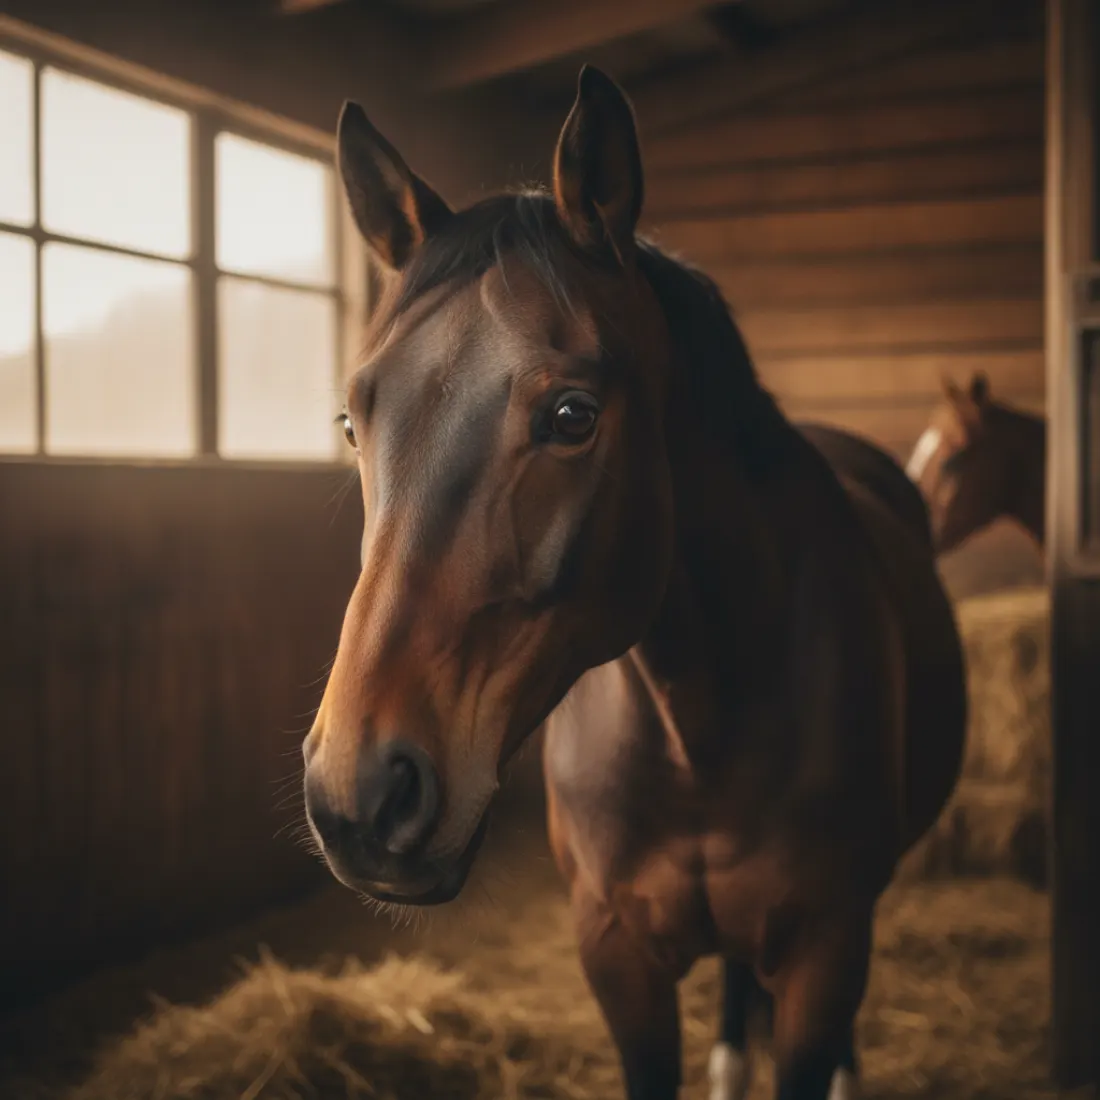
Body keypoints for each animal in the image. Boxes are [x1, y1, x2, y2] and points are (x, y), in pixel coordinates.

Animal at [301, 66, 968, 1100]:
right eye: (350, 422)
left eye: (573, 416)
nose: (361, 793)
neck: (699, 733)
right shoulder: (617, 957)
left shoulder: (826, 953)